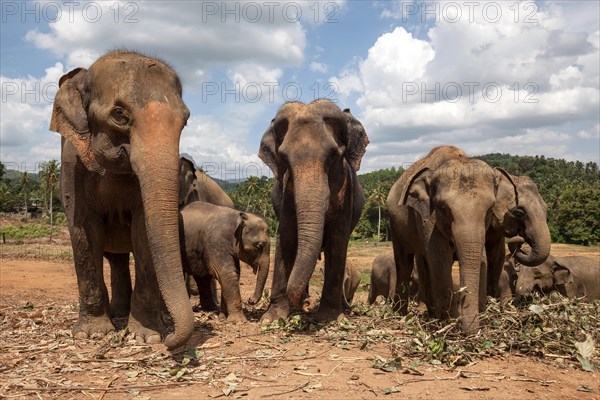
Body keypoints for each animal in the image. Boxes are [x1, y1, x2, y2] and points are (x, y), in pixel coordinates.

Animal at [51, 50, 193, 350]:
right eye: (120, 115)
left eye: (185, 120)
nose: (171, 340)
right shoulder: (71, 163)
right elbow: (83, 230)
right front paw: (91, 334)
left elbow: (142, 231)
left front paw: (149, 335)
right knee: (114, 259)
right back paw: (116, 313)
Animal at [258, 100, 370, 324]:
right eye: (284, 158)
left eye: (334, 155)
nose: (307, 305)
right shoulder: (286, 194)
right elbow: (286, 237)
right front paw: (272, 319)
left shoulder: (347, 191)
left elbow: (338, 241)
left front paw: (330, 318)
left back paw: (343, 309)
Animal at [386, 147, 500, 334]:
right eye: (444, 209)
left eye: (490, 209)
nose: (468, 332)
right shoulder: (428, 218)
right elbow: (440, 260)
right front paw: (449, 325)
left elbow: (481, 260)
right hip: (395, 226)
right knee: (405, 263)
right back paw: (401, 315)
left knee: (423, 262)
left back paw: (430, 314)